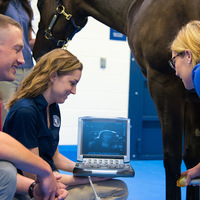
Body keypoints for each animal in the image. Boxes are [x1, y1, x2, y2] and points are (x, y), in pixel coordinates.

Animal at [32, 0, 200, 199]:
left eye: (40, 5)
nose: (37, 51)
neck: (138, 7)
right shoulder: (190, 96)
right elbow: (192, 157)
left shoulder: (164, 84)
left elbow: (172, 158)